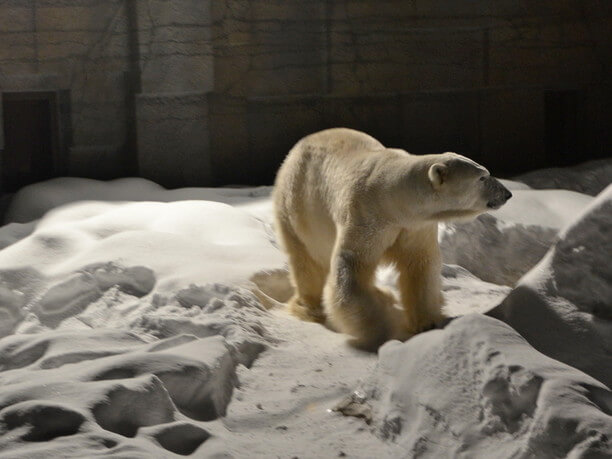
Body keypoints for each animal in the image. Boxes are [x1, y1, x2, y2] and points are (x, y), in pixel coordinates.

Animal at [272, 127, 512, 350]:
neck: (393, 200)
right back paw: (310, 308)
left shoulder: (414, 226)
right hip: (298, 205)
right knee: (305, 260)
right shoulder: (366, 216)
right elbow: (352, 266)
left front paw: (427, 322)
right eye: (482, 177)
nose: (507, 193)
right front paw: (377, 328)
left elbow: (420, 264)